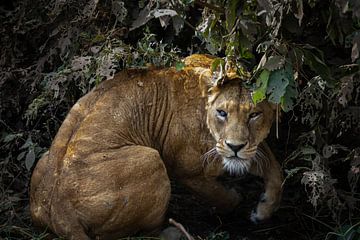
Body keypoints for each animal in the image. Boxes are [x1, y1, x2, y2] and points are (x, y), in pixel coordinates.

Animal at [31, 54, 282, 240]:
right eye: (222, 112)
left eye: (254, 115)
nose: (235, 146)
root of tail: (61, 213)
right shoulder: (187, 170)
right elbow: (219, 195)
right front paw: (236, 198)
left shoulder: (248, 149)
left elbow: (275, 169)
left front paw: (263, 210)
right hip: (150, 158)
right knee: (147, 232)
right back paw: (174, 231)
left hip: (44, 159)